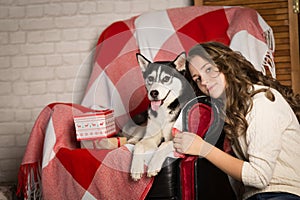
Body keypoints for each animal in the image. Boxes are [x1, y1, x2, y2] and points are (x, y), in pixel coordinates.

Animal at [128, 52, 195, 180]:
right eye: (150, 78)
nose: (153, 93)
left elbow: (164, 144)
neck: (163, 110)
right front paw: (136, 168)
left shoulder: (180, 140)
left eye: (166, 78)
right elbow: (139, 144)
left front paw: (153, 165)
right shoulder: (150, 138)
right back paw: (132, 140)